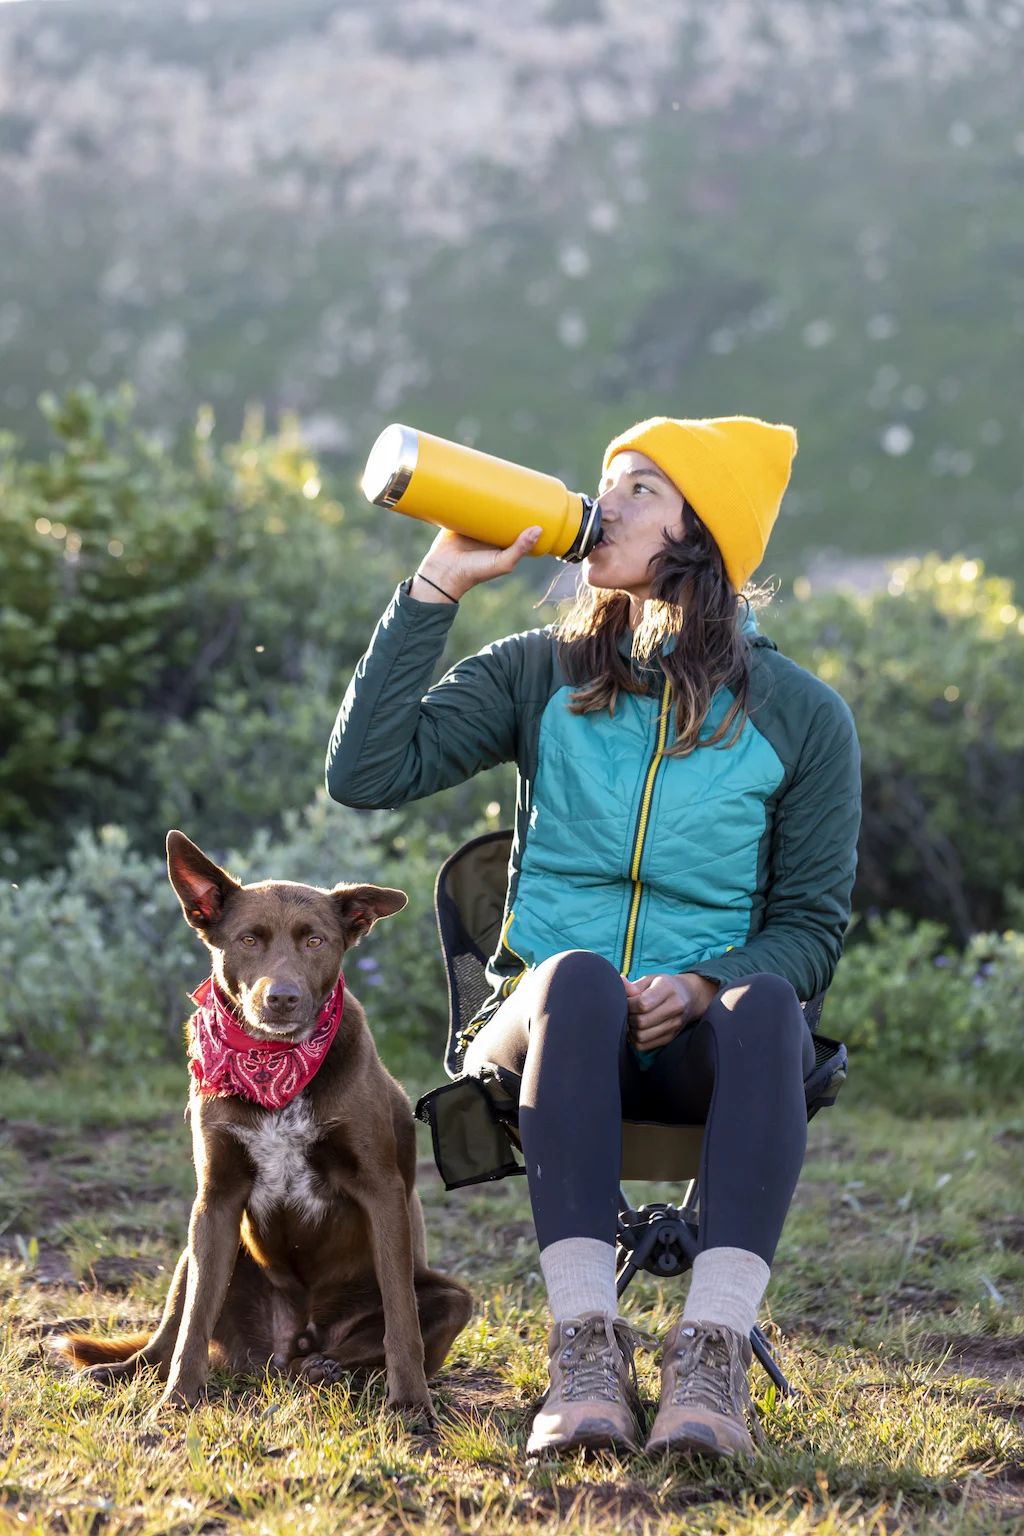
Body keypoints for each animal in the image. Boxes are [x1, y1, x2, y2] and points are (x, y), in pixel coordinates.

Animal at [52, 835, 472, 1419]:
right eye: (249, 939)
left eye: (315, 941)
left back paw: (326, 1369)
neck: (275, 1065)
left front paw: (412, 1406)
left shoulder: (382, 1190)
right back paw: (125, 1371)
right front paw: (176, 1402)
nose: (283, 998)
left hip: (451, 1299)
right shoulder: (217, 1199)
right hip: (190, 1251)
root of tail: (288, 1339)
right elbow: (192, 1323)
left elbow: (401, 1319)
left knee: (361, 1342)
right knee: (169, 1332)